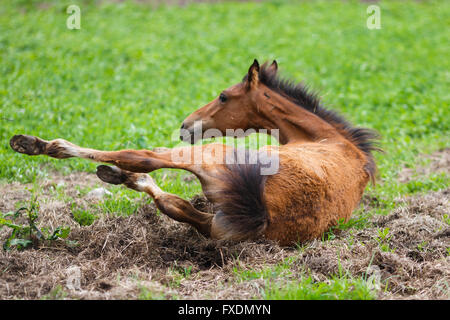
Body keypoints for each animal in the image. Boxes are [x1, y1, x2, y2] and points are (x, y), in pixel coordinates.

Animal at [8, 59, 378, 245]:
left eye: (224, 96)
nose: (187, 124)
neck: (327, 139)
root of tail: (263, 211)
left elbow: (146, 154)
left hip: (211, 152)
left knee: (142, 158)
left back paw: (39, 144)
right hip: (216, 220)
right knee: (176, 206)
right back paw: (119, 176)